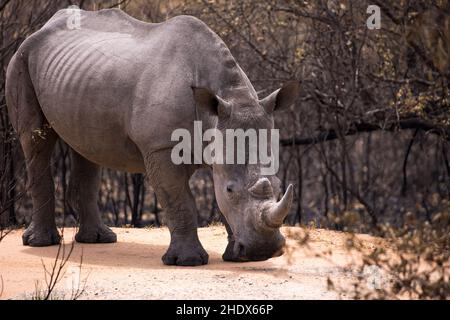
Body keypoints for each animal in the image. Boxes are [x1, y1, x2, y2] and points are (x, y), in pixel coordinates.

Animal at [5, 8, 298, 266]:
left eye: (278, 184)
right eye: (230, 189)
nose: (265, 251)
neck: (226, 101)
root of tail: (43, 27)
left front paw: (236, 256)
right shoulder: (160, 147)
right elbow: (180, 200)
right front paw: (187, 261)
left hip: (78, 76)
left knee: (86, 146)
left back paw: (98, 239)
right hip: (21, 59)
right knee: (35, 141)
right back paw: (40, 243)